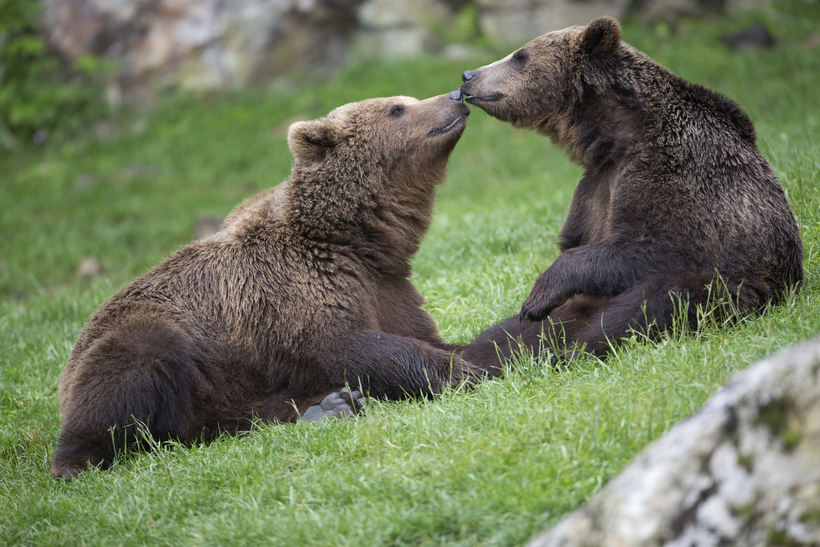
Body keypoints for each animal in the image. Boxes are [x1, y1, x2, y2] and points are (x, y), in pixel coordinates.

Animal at [51, 91, 478, 480]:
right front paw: (455, 371)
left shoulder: (386, 287)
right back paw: (75, 462)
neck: (352, 239)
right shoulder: (293, 289)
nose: (455, 95)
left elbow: (418, 332)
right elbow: (345, 344)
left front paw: (466, 353)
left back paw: (329, 405)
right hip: (156, 340)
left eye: (408, 100)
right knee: (125, 378)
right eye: (397, 108)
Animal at [458, 18, 804, 368]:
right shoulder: (596, 186)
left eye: (520, 56)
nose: (468, 75)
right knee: (506, 336)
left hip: (741, 287)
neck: (613, 138)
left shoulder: (673, 168)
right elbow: (579, 240)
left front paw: (541, 292)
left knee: (659, 300)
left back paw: (573, 352)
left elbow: (655, 245)